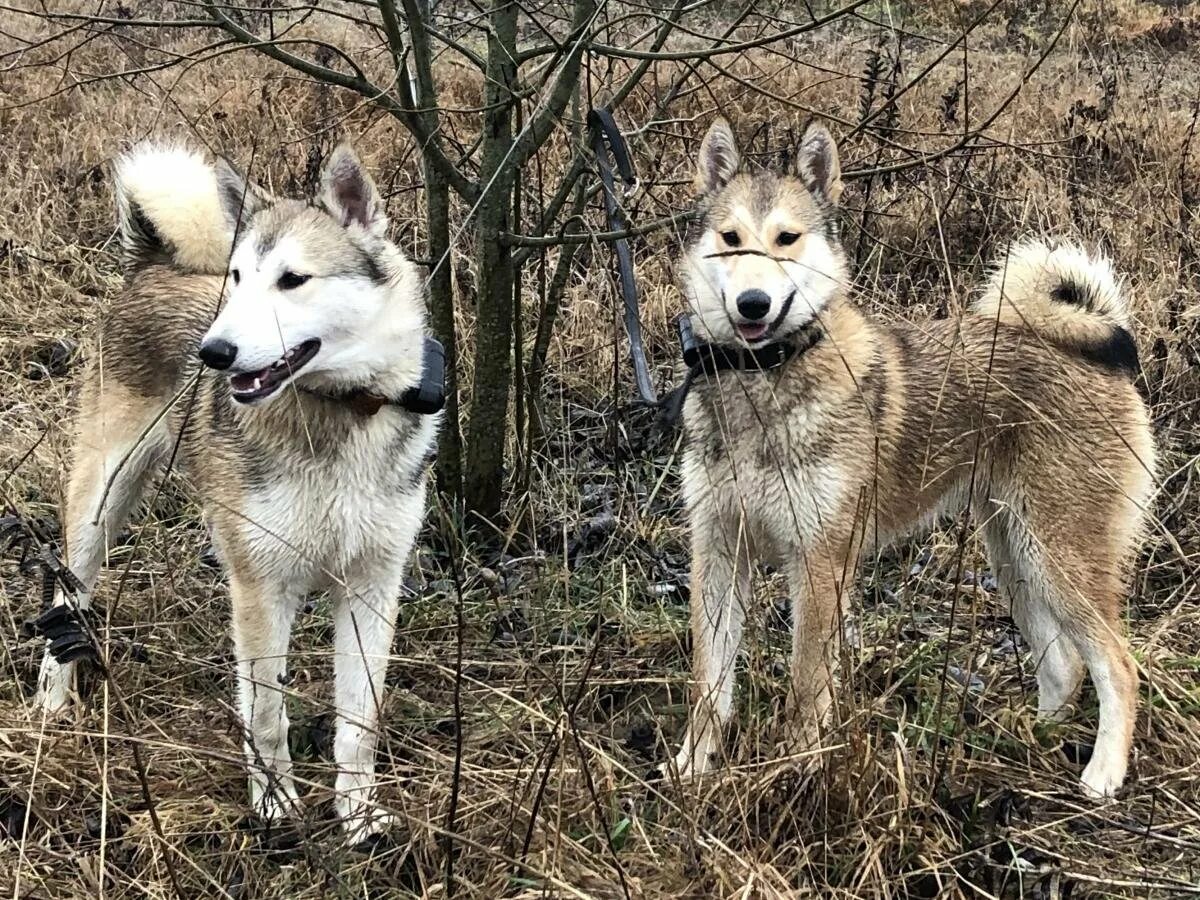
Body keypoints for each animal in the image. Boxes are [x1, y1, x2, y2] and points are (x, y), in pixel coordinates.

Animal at [36, 141, 441, 844]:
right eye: (238, 280)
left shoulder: (372, 585)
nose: (214, 352)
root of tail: (154, 265)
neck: (336, 414)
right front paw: (276, 804)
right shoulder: (261, 589)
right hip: (97, 509)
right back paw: (54, 700)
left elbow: (359, 721)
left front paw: (358, 813)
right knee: (67, 599)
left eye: (293, 280)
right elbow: (267, 716)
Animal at [676, 118, 1152, 796]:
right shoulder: (718, 549)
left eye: (787, 239)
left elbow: (806, 687)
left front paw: (795, 770)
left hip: (1060, 556)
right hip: (1015, 553)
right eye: (730, 239)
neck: (762, 379)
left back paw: (1103, 775)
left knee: (1117, 666)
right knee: (1064, 663)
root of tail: (1094, 348)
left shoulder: (819, 564)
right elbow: (710, 683)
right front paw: (692, 767)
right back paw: (1030, 738)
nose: (753, 304)